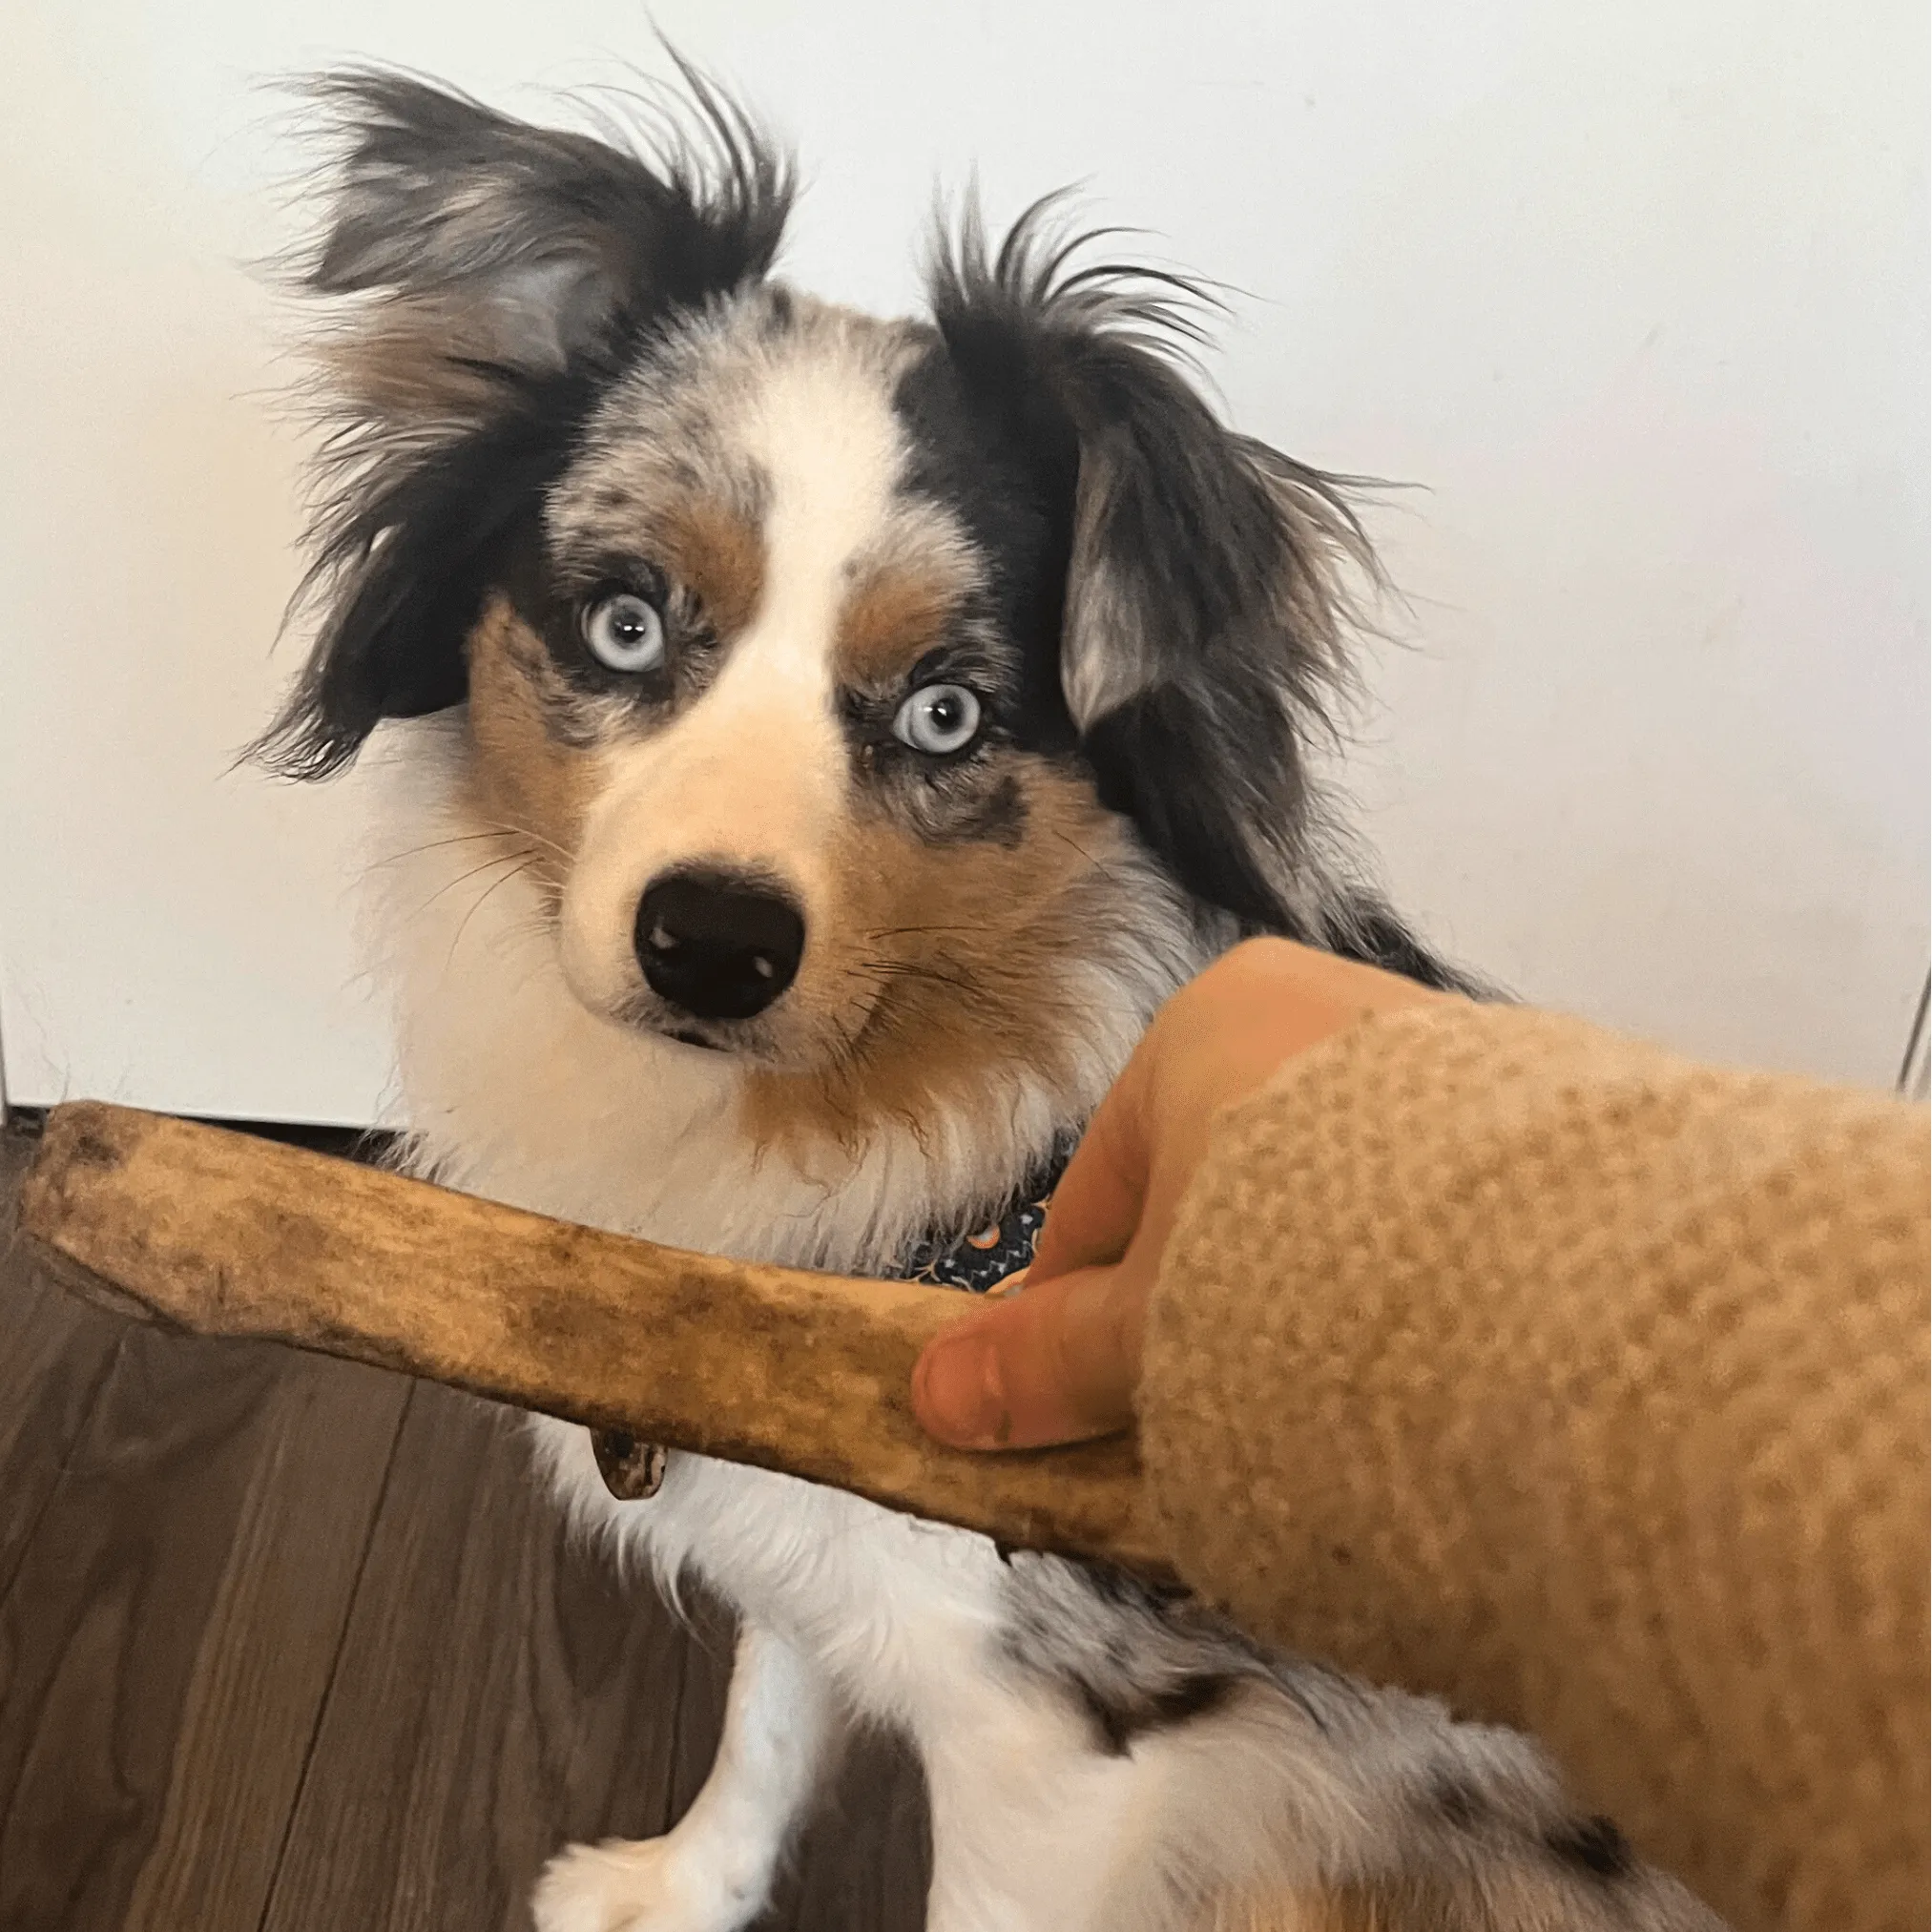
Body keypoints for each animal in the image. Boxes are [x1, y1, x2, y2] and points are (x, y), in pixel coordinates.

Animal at [257, 60, 1723, 1932]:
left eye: (946, 712)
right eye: (629, 622)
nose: (712, 945)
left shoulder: (1064, 1737)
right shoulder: (811, 1529)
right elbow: (769, 1714)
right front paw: (680, 1889)